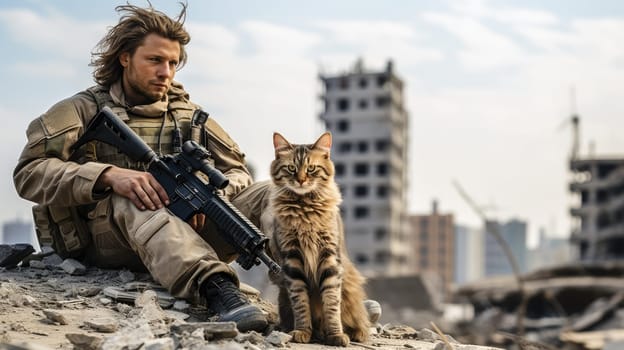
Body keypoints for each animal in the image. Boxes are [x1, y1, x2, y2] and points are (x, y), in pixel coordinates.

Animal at [262, 132, 370, 348]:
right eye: (292, 168)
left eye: (311, 169)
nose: (301, 180)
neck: (305, 208)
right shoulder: (293, 259)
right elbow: (301, 303)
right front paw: (303, 331)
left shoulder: (329, 257)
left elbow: (331, 303)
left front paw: (336, 335)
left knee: (359, 322)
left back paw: (350, 333)